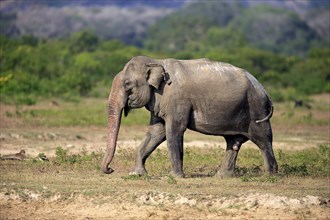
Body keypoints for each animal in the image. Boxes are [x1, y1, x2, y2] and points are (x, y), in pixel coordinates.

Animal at [102, 55, 278, 178]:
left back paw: (271, 175)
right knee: (233, 141)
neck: (155, 61)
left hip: (256, 108)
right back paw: (222, 176)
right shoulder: (160, 101)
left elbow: (174, 131)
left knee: (263, 138)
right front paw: (137, 174)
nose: (110, 169)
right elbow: (156, 132)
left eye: (127, 84)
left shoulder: (177, 100)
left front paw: (174, 177)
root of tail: (264, 89)